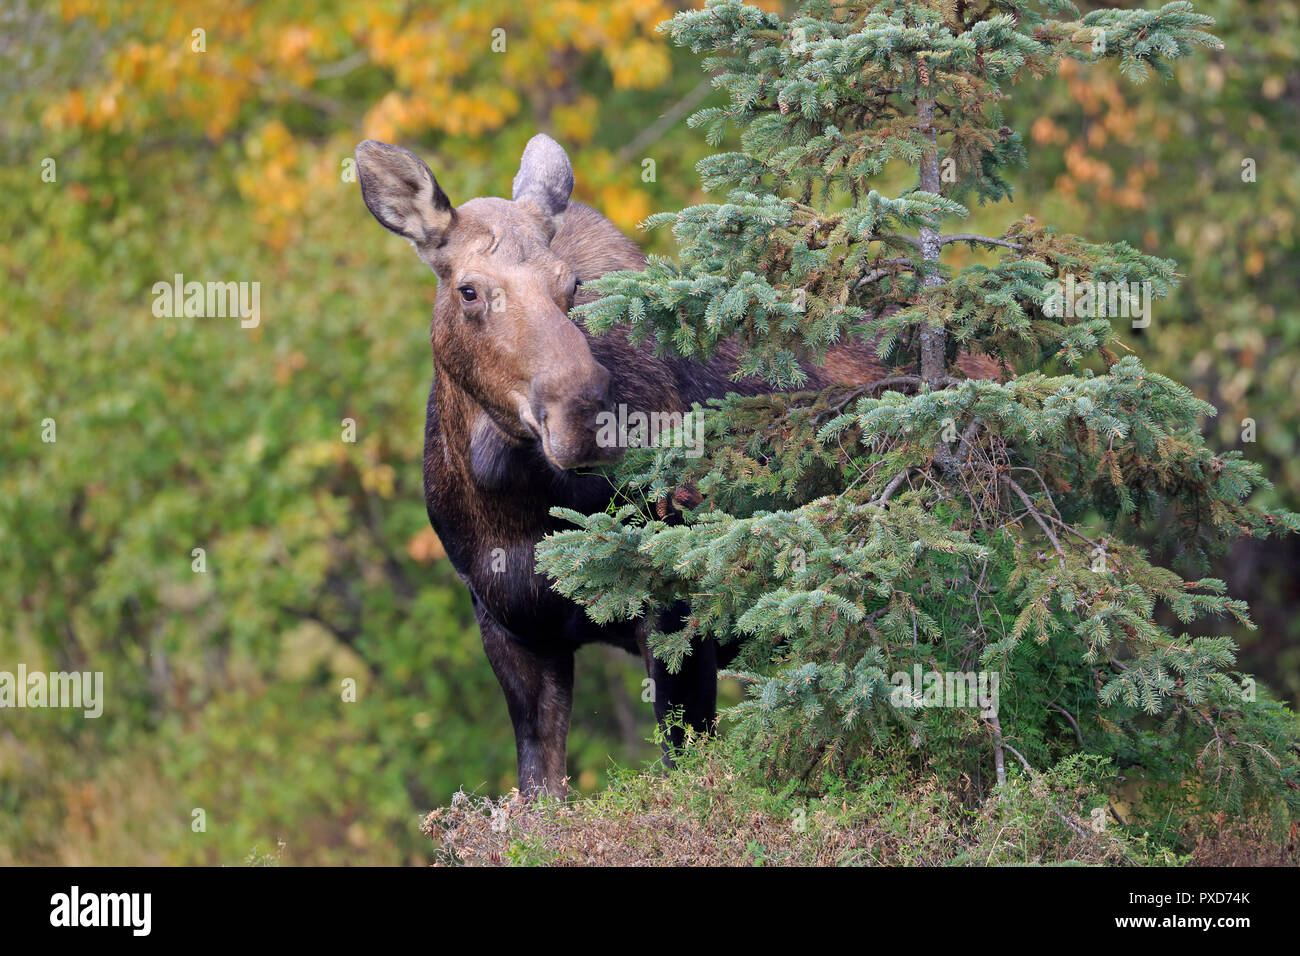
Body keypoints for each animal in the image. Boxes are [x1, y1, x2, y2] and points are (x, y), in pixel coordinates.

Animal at [353, 130, 977, 796]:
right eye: (468, 289)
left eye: (571, 285)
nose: (584, 413)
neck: (517, 506)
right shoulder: (512, 628)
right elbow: (540, 790)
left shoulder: (679, 608)